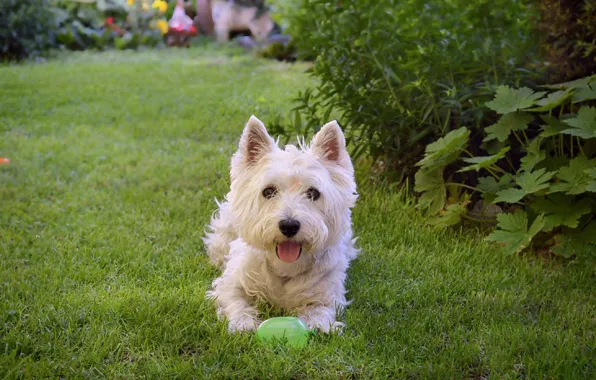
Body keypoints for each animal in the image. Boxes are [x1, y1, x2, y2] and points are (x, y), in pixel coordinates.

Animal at [204, 115, 358, 332]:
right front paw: (242, 323)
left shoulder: (328, 293)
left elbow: (321, 309)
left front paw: (319, 325)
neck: (285, 269)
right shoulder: (231, 283)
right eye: (268, 191)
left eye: (313, 193)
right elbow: (235, 300)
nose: (289, 226)